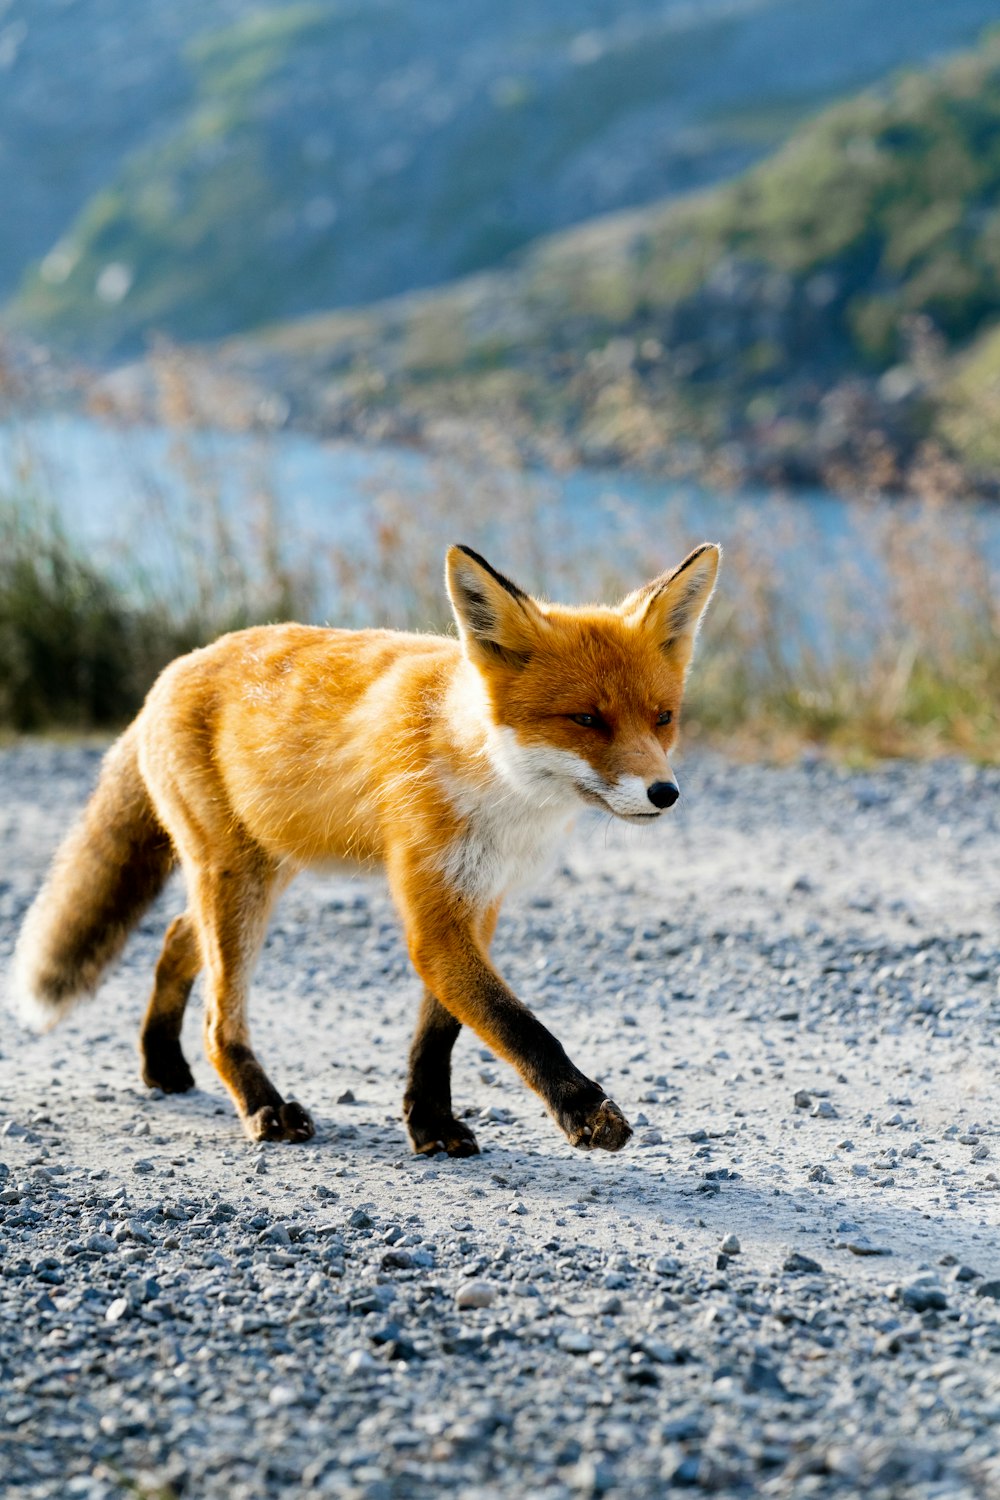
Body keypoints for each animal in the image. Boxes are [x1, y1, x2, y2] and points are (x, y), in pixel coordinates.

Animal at [13, 546, 719, 1152]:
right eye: (587, 720)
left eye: (662, 718)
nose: (665, 793)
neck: (492, 782)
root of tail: (173, 669)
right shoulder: (434, 910)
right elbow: (517, 1024)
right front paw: (584, 1111)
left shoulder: (479, 899)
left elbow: (442, 1031)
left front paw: (429, 1123)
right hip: (239, 881)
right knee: (218, 1013)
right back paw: (262, 1104)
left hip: (262, 871)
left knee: (177, 939)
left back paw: (161, 1062)